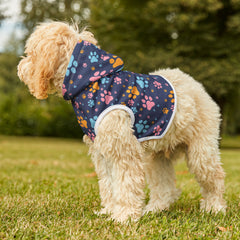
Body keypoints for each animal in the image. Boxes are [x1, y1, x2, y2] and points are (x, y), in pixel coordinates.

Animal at [17, 21, 226, 222]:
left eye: (31, 53)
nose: (20, 68)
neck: (91, 82)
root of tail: (196, 85)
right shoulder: (103, 151)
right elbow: (109, 184)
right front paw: (110, 211)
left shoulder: (123, 150)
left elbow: (126, 184)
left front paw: (124, 216)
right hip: (157, 158)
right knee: (165, 188)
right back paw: (155, 209)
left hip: (201, 152)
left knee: (215, 178)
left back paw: (215, 208)